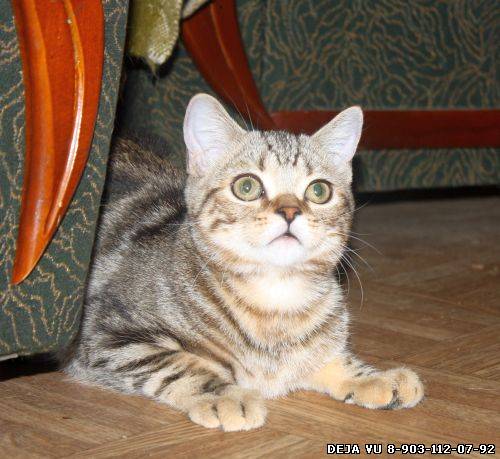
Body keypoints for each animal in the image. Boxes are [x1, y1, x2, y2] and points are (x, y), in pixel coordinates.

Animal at [62, 94, 424, 431]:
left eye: (319, 191)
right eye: (247, 186)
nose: (290, 211)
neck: (276, 300)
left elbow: (330, 357)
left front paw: (377, 377)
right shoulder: (108, 336)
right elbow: (181, 364)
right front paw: (225, 395)